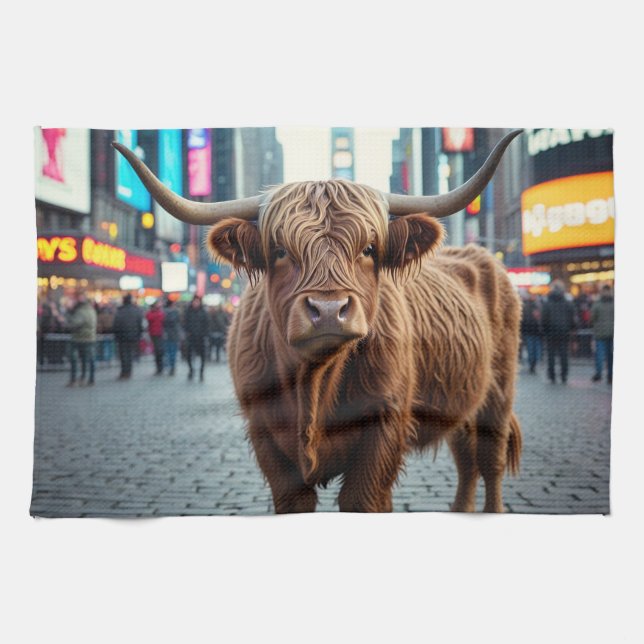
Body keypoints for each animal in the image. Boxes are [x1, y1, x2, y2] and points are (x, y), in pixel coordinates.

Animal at [113, 129, 523, 513]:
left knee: (490, 460)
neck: (313, 382)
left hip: (498, 393)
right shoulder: (266, 438)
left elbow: (363, 499)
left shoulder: (385, 428)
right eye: (279, 251)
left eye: (369, 249)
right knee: (466, 456)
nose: (328, 309)